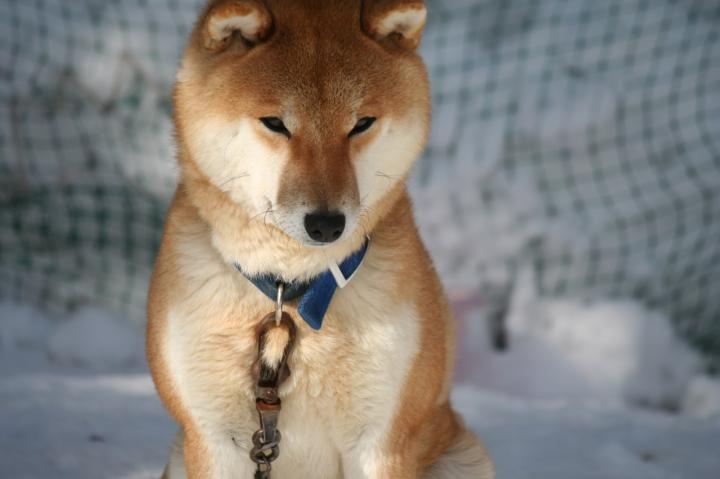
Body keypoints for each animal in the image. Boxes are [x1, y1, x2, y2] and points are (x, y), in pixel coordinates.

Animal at [146, 0, 496, 479]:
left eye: (361, 124)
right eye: (275, 123)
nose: (327, 224)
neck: (287, 291)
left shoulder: (380, 442)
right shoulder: (213, 438)